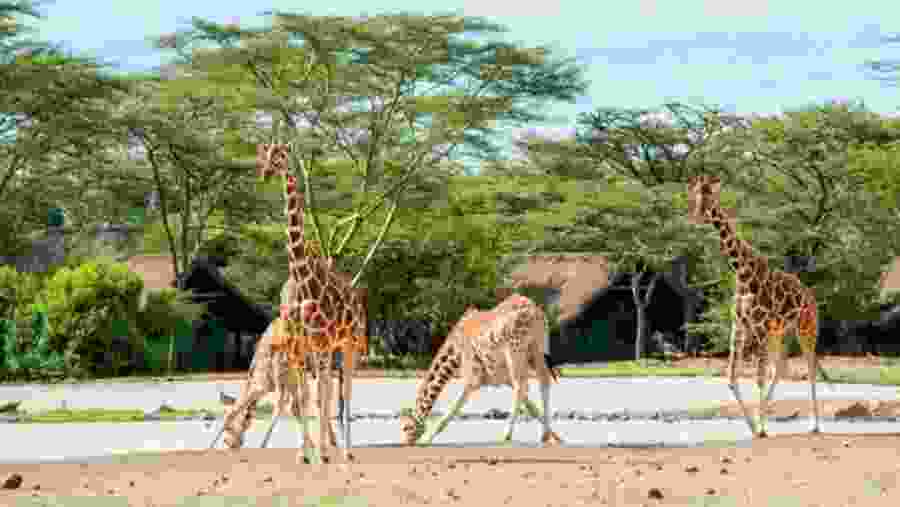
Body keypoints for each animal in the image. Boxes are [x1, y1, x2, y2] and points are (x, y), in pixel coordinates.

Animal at [257, 143, 368, 464]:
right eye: (263, 156)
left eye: (280, 156)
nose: (265, 173)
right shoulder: (306, 347)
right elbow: (309, 396)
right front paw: (305, 454)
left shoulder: (321, 344)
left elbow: (321, 396)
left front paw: (322, 452)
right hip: (326, 349)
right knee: (324, 391)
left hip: (350, 343)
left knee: (345, 392)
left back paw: (347, 451)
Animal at [399, 294, 563, 446]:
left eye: (405, 427)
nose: (406, 443)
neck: (455, 353)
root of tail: (536, 313)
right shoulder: (503, 379)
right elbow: (532, 407)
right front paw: (556, 437)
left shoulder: (473, 378)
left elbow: (453, 408)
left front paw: (427, 440)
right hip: (537, 349)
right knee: (543, 381)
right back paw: (543, 436)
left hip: (515, 350)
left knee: (523, 385)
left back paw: (505, 436)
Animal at [687, 175, 832, 438]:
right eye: (695, 196)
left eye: (710, 197)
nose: (698, 217)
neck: (742, 273)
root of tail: (811, 298)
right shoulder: (740, 326)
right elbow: (732, 377)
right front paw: (754, 427)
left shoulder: (760, 326)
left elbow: (758, 378)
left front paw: (761, 428)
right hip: (779, 332)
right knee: (781, 366)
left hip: (806, 328)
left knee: (809, 368)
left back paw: (815, 425)